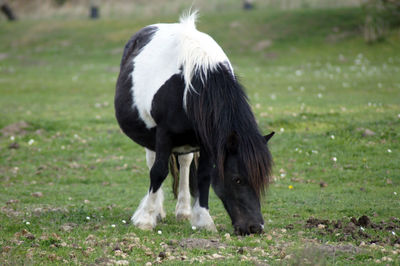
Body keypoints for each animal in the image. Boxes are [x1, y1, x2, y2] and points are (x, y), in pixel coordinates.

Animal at [114, 11, 274, 235]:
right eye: (237, 179)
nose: (255, 227)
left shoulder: (207, 141)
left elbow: (203, 176)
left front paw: (203, 220)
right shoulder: (163, 134)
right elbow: (158, 172)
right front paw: (145, 219)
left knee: (185, 163)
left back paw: (183, 211)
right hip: (152, 136)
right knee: (153, 163)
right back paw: (157, 210)